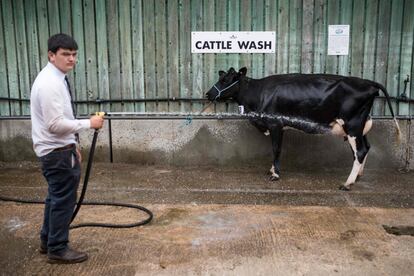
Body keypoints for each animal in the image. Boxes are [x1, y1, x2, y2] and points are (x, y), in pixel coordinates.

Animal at [205, 68, 400, 191]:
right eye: (221, 78)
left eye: (225, 80)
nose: (208, 94)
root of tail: (369, 83)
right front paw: (272, 170)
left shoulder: (275, 124)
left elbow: (276, 149)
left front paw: (275, 174)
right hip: (359, 126)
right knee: (365, 148)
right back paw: (358, 176)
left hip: (352, 125)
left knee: (359, 151)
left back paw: (347, 183)